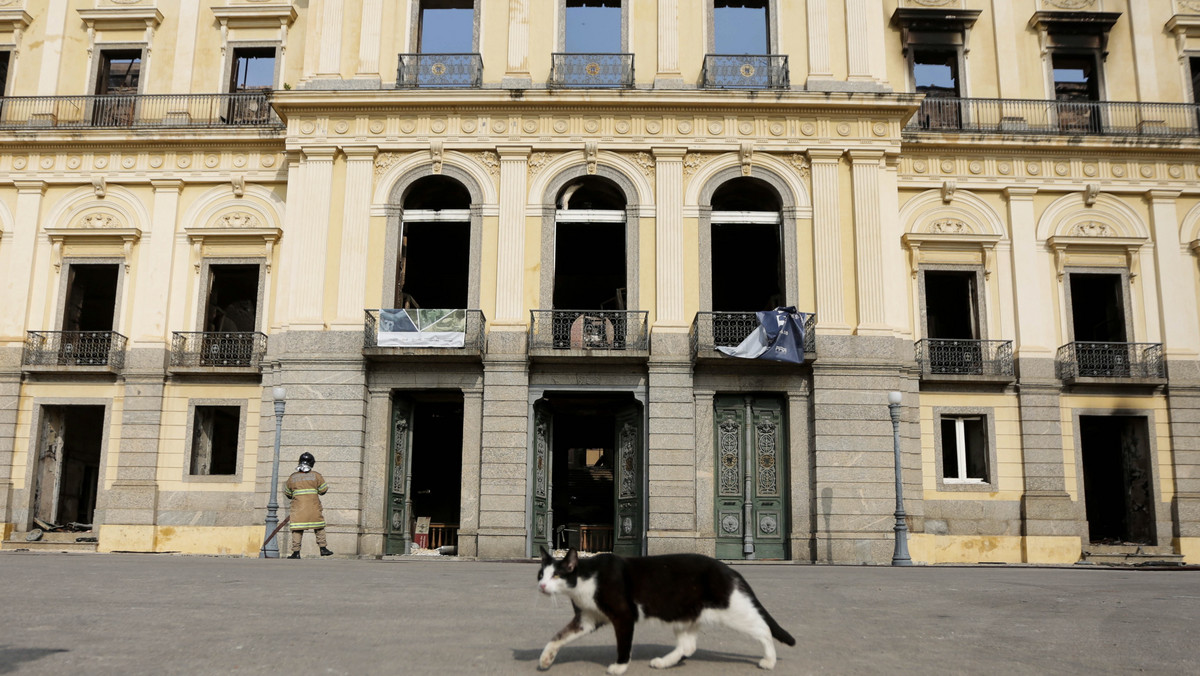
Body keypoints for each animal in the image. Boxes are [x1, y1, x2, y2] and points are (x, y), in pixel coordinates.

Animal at [535, 547, 796, 672]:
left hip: (732, 609)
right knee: (688, 645)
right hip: (683, 613)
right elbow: (557, 637)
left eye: (557, 575)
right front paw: (546, 659)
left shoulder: (624, 615)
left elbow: (623, 644)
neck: (586, 579)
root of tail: (729, 569)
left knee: (762, 629)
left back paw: (769, 660)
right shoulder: (587, 618)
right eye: (541, 574)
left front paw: (620, 667)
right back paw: (663, 662)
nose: (542, 586)